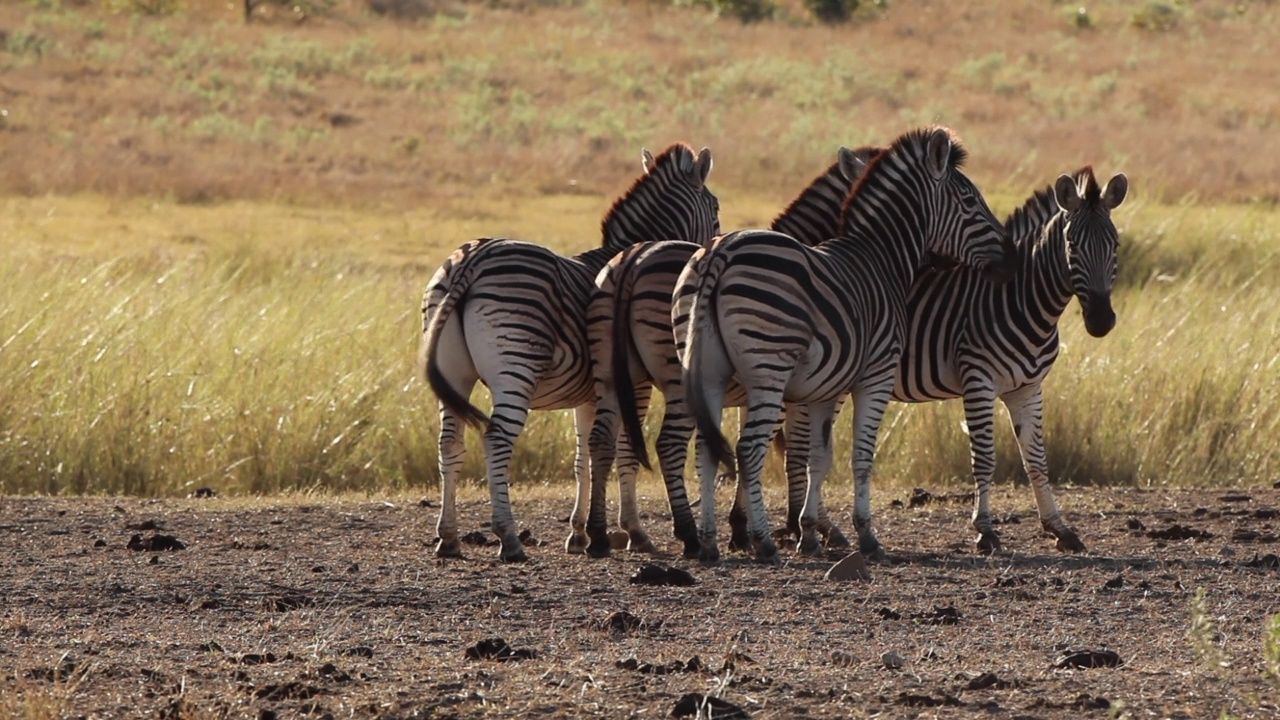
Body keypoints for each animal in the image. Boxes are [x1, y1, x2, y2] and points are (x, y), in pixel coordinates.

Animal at [419, 141, 721, 561]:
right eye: (716, 210)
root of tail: (472, 259)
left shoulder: (590, 394)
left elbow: (583, 458)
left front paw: (579, 533)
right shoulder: (634, 384)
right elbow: (625, 452)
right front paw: (633, 533)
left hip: (454, 372)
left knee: (449, 444)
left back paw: (447, 538)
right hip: (516, 369)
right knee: (496, 440)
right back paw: (509, 539)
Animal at [578, 146, 885, 558]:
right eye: (716, 207)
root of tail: (633, 259)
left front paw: (744, 529)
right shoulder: (792, 387)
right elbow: (791, 450)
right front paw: (805, 527)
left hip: (615, 377)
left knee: (606, 442)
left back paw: (603, 535)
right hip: (668, 378)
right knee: (658, 445)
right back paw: (684, 534)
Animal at [675, 126, 1013, 561]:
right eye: (970, 201)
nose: (1012, 256)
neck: (882, 259)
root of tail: (720, 250)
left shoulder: (823, 389)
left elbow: (818, 457)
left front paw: (809, 533)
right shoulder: (875, 377)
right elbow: (860, 456)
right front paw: (866, 535)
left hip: (708, 371)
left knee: (706, 451)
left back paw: (708, 543)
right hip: (768, 369)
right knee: (748, 450)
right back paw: (763, 542)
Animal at [885, 165, 1126, 550]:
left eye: (1115, 245)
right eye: (1072, 246)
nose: (1102, 321)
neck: (1025, 302)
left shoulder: (1027, 388)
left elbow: (1037, 460)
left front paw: (1059, 527)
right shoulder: (978, 381)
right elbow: (984, 458)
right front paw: (985, 530)